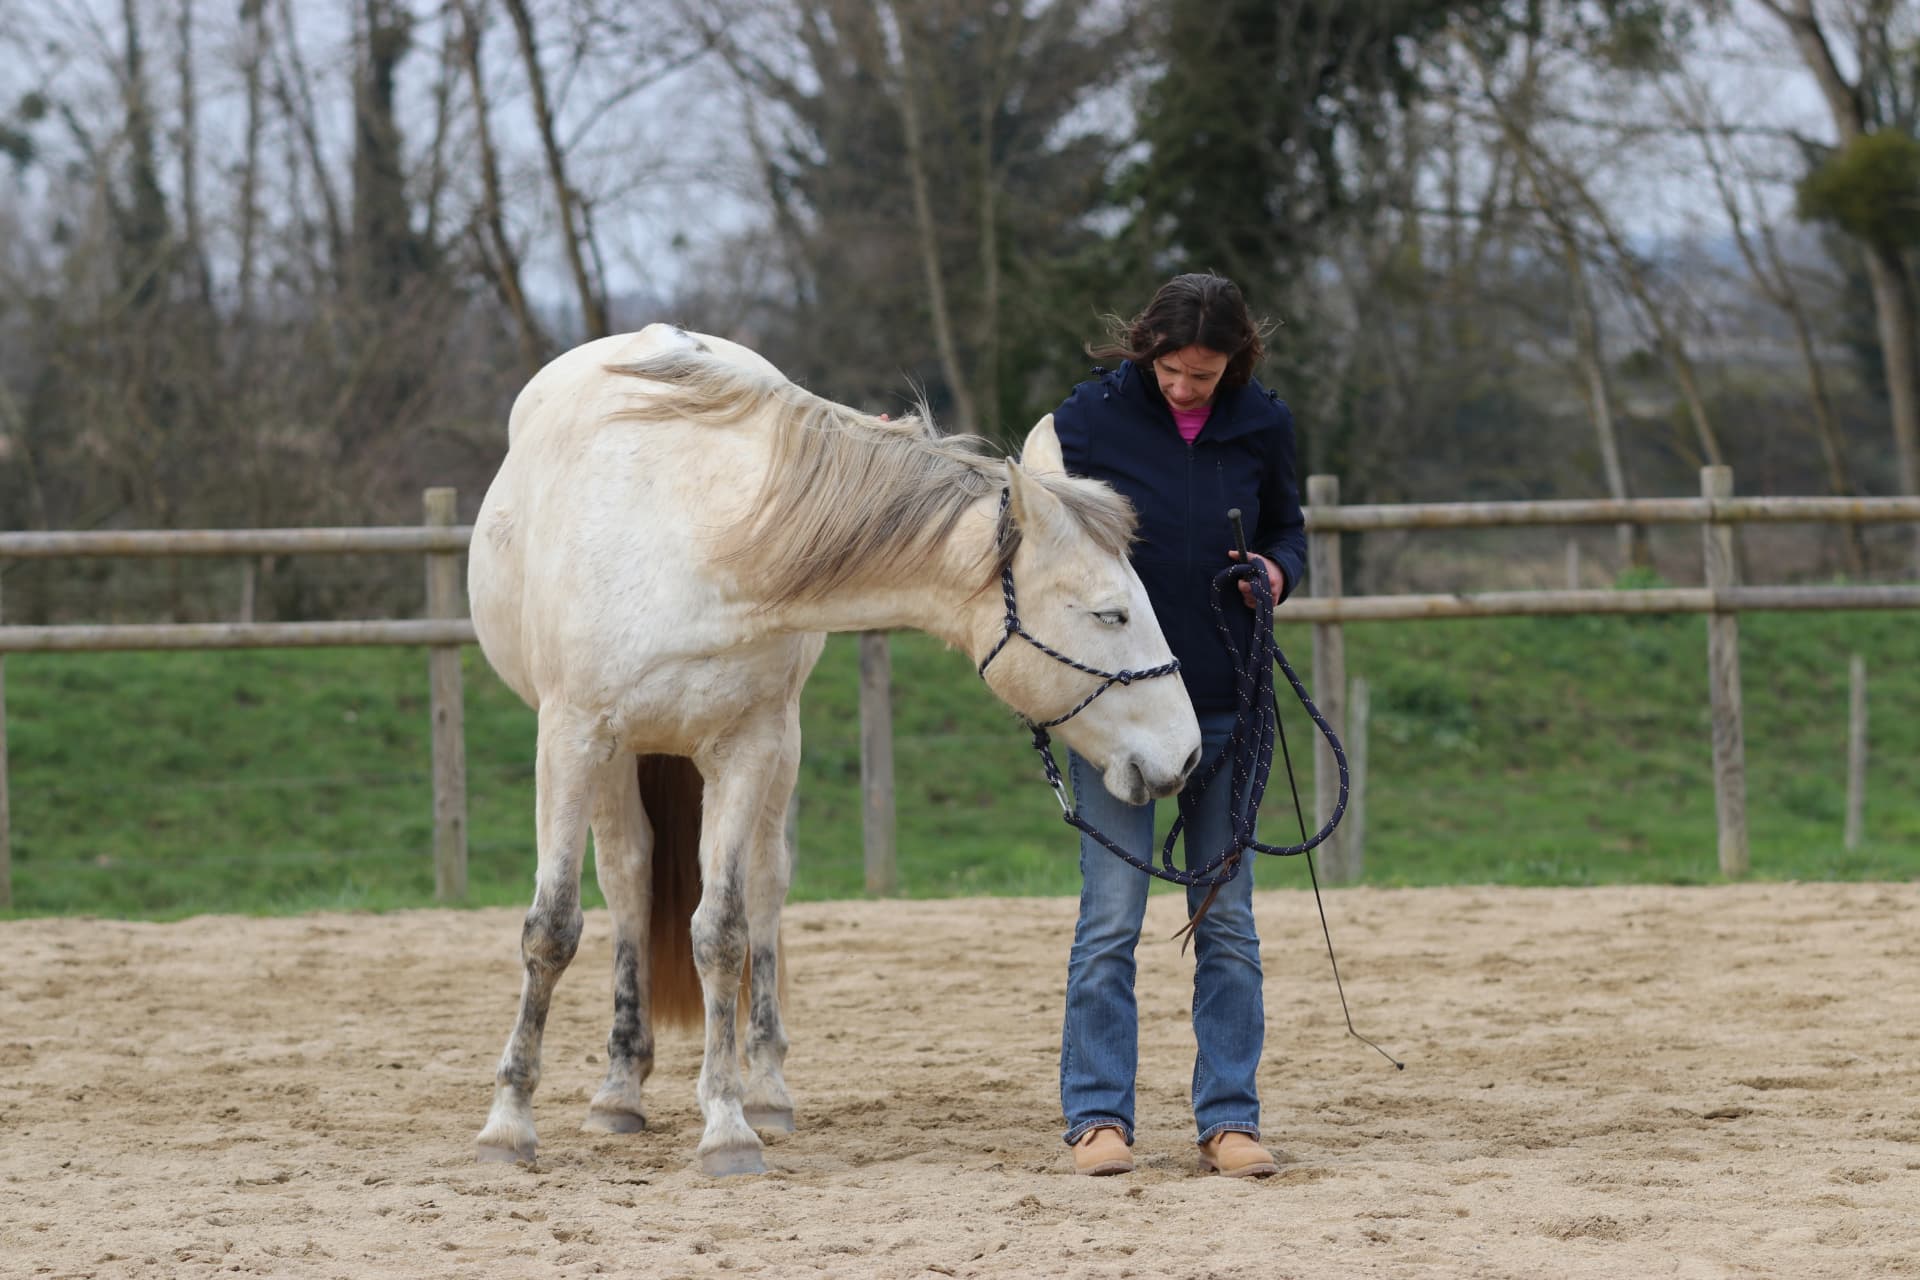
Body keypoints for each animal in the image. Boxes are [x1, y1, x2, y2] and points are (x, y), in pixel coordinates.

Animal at [466, 323, 1202, 1175]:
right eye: (1111, 613)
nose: (1187, 755)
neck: (696, 541)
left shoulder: (748, 746)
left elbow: (722, 933)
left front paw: (728, 1125)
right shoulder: (572, 738)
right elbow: (551, 929)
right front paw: (508, 1123)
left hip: (774, 751)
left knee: (760, 888)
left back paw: (761, 1089)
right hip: (617, 760)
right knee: (627, 882)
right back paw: (618, 1089)